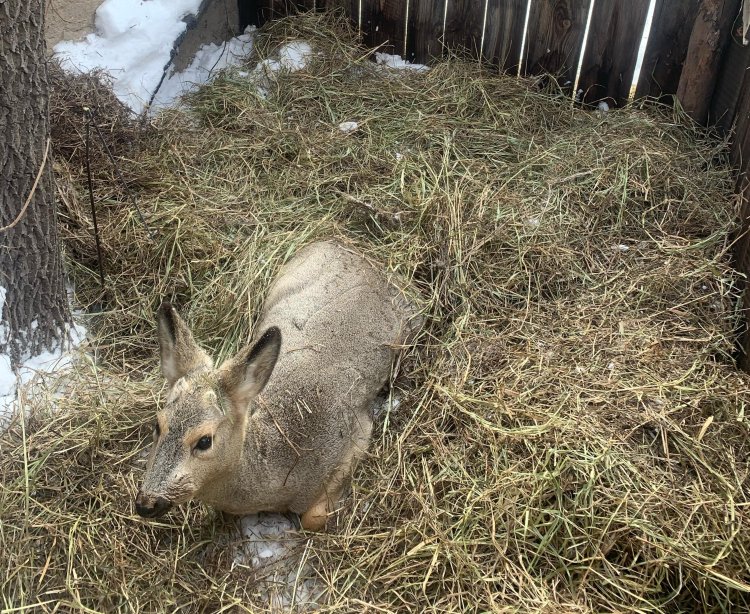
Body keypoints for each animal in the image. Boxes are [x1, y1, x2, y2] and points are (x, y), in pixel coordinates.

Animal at [136, 241, 424, 536]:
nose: (146, 503)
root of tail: (364, 258)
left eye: (204, 440)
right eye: (157, 425)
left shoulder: (358, 436)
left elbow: (313, 518)